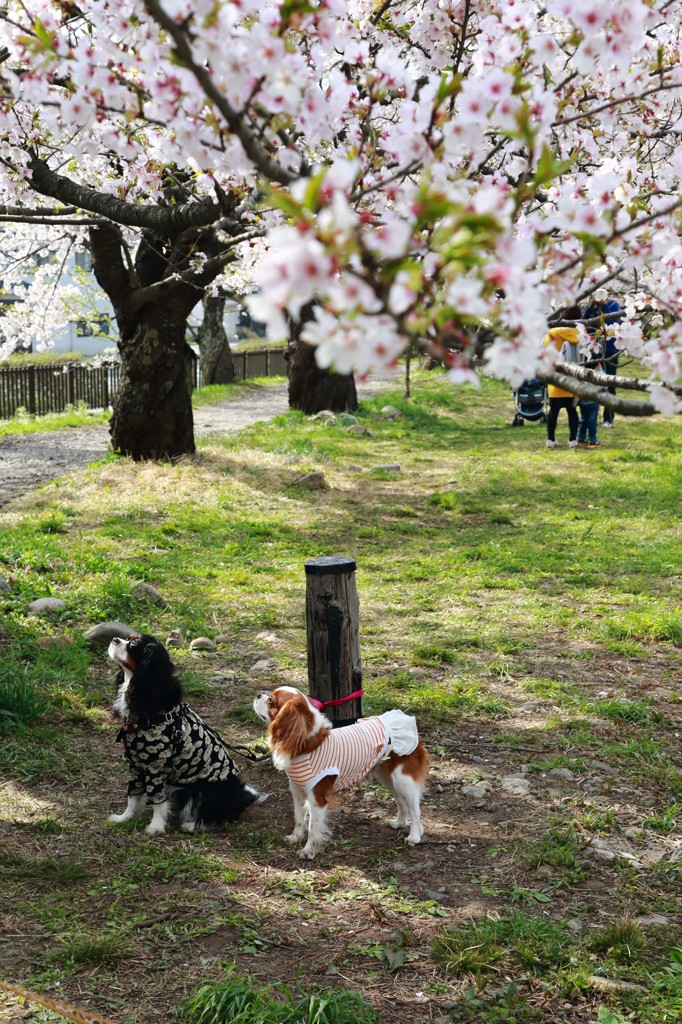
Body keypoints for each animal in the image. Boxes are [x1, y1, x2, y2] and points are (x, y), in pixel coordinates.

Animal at [107, 634, 261, 835]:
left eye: (133, 643)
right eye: (128, 638)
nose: (115, 639)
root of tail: (241, 798)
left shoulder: (156, 768)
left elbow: (157, 801)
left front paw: (155, 827)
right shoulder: (135, 765)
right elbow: (132, 797)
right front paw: (123, 818)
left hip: (207, 791)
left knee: (218, 817)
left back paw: (191, 825)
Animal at [251, 684, 428, 860]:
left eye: (270, 701)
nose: (258, 694)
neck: (307, 744)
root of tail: (407, 721)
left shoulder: (317, 798)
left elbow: (313, 828)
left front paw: (308, 850)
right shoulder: (297, 791)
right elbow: (299, 818)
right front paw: (295, 837)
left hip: (403, 780)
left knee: (415, 809)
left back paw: (414, 836)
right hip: (387, 778)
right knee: (401, 802)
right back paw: (398, 823)